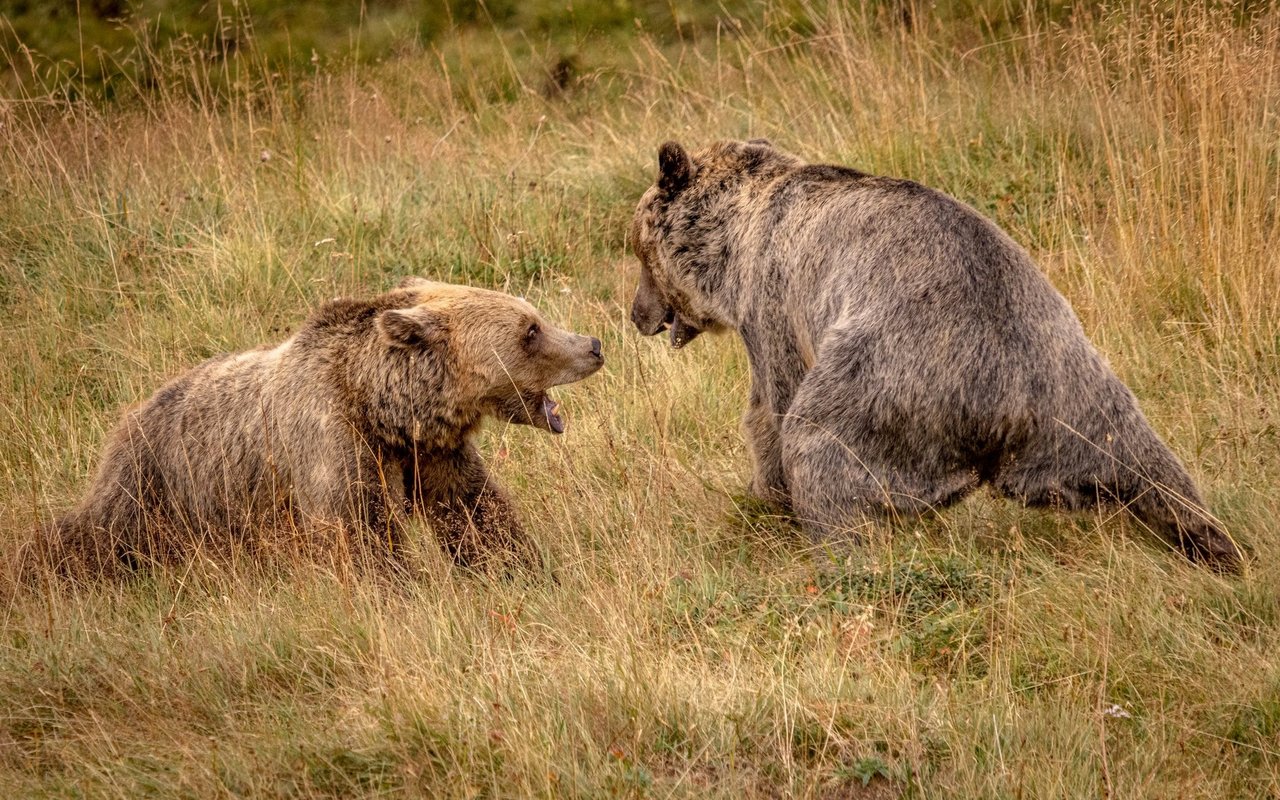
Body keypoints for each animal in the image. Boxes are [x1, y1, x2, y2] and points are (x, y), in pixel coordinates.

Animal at [48, 277, 604, 576]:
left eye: (534, 316)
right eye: (530, 330)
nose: (593, 344)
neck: (385, 409)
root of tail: (127, 420)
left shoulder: (431, 452)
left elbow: (474, 511)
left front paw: (520, 568)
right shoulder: (331, 444)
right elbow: (359, 534)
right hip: (154, 490)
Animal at [627, 140, 1239, 570]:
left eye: (638, 251)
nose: (636, 314)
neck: (739, 236)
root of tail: (1008, 404)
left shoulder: (775, 299)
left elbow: (769, 407)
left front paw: (762, 496)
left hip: (885, 376)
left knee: (819, 444)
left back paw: (838, 554)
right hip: (1079, 391)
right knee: (1152, 470)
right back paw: (1217, 547)